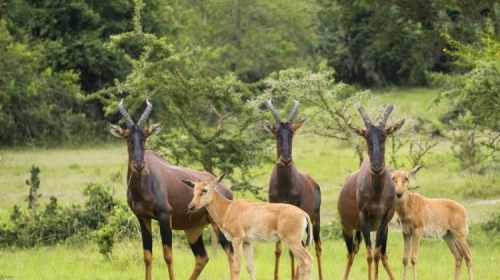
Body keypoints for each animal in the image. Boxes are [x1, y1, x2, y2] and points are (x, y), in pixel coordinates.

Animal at [108, 100, 233, 280]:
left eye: (145, 137)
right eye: (127, 138)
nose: (139, 165)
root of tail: (226, 189)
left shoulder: (164, 216)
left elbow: (168, 255)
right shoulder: (143, 218)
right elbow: (147, 256)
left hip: (219, 225)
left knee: (231, 253)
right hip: (193, 229)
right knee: (202, 257)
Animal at [184, 175, 312, 280]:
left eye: (204, 190)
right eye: (194, 190)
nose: (191, 207)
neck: (228, 208)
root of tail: (304, 214)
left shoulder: (237, 239)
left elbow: (236, 266)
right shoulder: (247, 242)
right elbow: (250, 267)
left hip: (293, 242)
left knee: (308, 260)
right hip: (297, 243)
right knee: (301, 263)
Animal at [264, 99, 322, 280]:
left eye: (292, 133)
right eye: (276, 133)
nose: (286, 159)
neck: (284, 185)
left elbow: (291, 252)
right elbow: (278, 249)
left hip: (314, 219)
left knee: (317, 247)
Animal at [338, 102, 404, 280]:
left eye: (385, 135)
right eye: (366, 136)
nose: (376, 167)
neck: (377, 191)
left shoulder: (385, 219)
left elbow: (376, 254)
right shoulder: (364, 217)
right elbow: (368, 255)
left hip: (383, 229)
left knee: (382, 255)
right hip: (347, 226)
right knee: (350, 254)